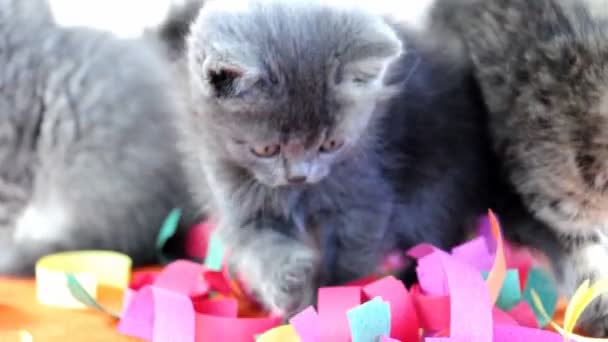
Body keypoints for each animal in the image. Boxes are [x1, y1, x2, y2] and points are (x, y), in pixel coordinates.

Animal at [185, 0, 494, 316]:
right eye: (266, 150)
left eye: (331, 144)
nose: (298, 175)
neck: (299, 195)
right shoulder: (236, 198)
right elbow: (259, 245)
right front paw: (289, 286)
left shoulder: (365, 196)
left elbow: (349, 256)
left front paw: (332, 300)